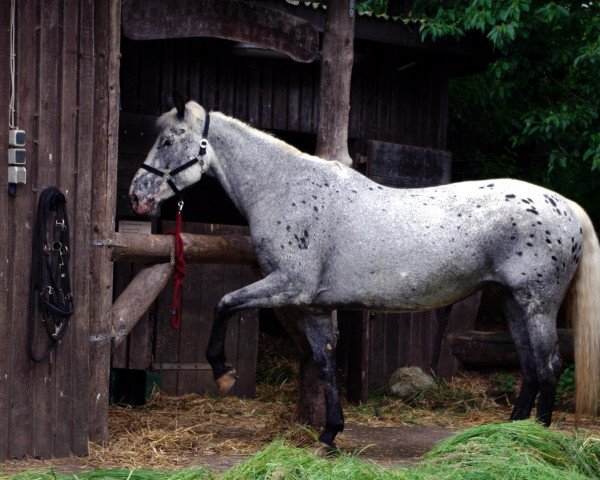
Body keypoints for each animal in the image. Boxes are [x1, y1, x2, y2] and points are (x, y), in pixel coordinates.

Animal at [131, 99, 600, 448]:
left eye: (169, 140)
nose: (137, 195)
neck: (284, 187)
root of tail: (566, 207)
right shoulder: (311, 306)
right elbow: (324, 365)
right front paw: (329, 434)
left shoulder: (287, 286)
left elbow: (224, 304)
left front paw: (223, 372)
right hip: (510, 301)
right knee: (530, 365)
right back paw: (507, 435)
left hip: (537, 304)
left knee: (550, 365)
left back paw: (535, 440)